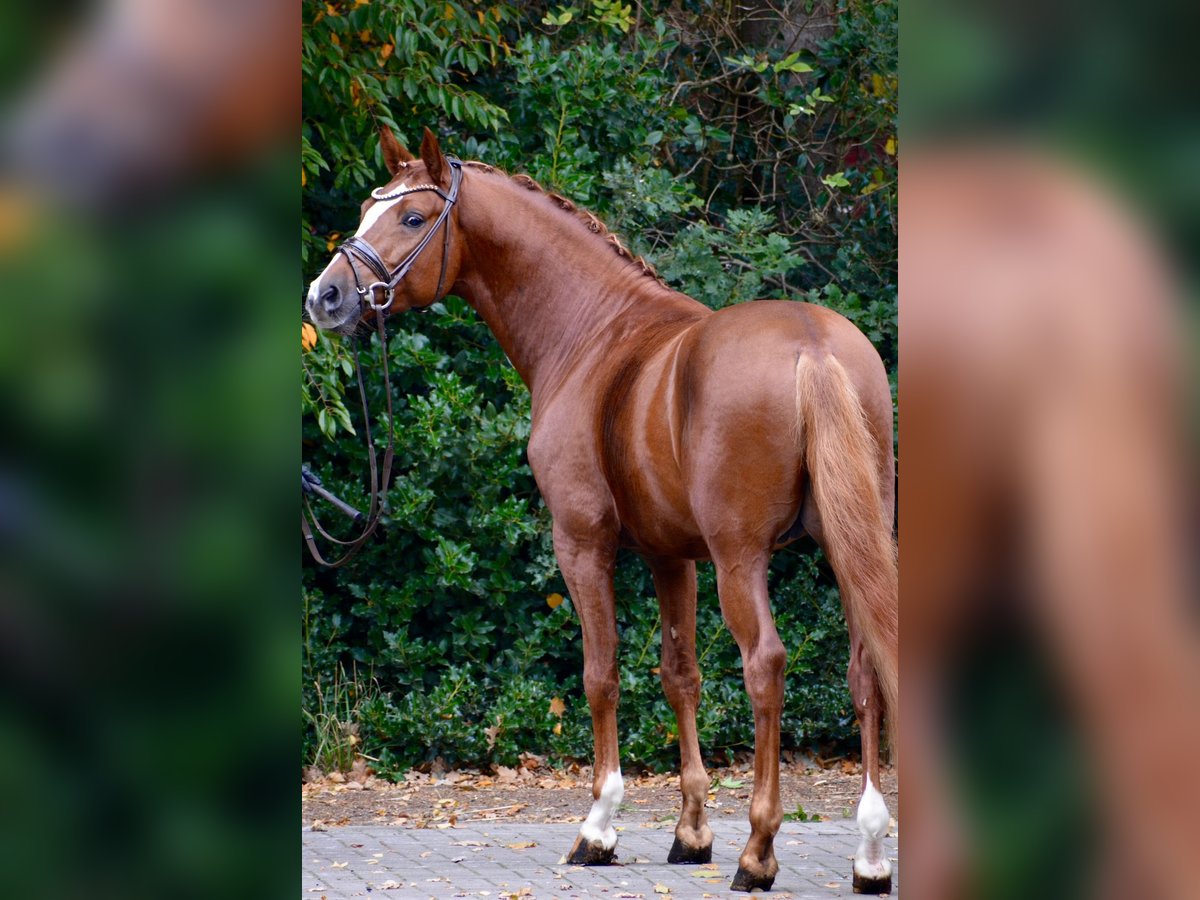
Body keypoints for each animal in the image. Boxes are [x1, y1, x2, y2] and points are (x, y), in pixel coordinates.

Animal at [305, 128, 899, 894]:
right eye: (365, 209)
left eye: (412, 218)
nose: (326, 296)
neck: (593, 333)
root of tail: (812, 345)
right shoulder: (672, 556)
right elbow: (680, 676)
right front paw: (690, 832)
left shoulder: (583, 541)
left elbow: (601, 672)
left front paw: (599, 828)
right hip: (849, 542)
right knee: (866, 669)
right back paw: (870, 852)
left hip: (742, 558)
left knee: (765, 664)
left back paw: (759, 851)